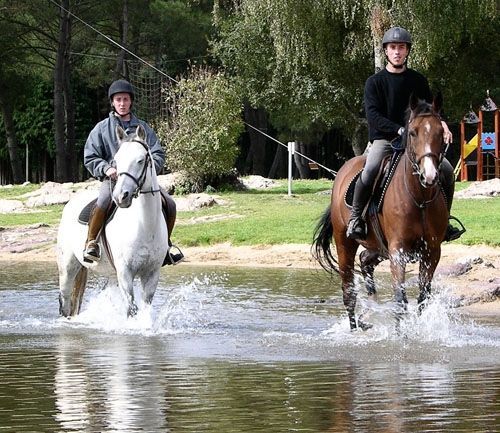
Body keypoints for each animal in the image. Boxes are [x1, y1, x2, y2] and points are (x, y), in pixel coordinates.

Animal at [57, 125, 168, 318]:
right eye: (116, 160)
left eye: (140, 160)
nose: (120, 196)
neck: (145, 226)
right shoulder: (125, 273)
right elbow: (131, 310)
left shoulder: (152, 273)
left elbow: (145, 308)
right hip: (67, 268)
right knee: (65, 301)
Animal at [312, 94, 450, 330]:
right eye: (413, 132)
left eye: (440, 132)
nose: (430, 176)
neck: (419, 198)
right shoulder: (398, 250)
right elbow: (400, 298)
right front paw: (401, 333)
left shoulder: (432, 251)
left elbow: (423, 297)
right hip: (345, 243)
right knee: (348, 291)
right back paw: (355, 328)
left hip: (377, 246)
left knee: (366, 260)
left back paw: (368, 314)